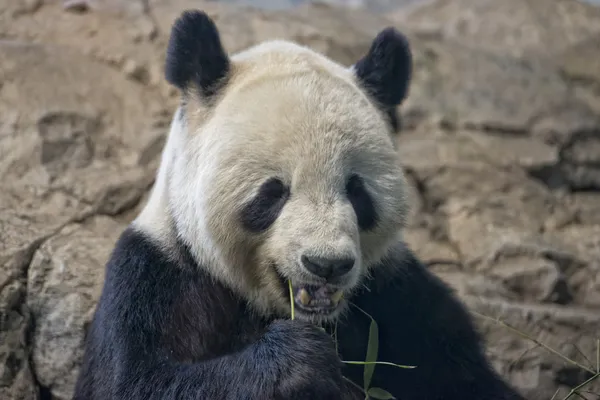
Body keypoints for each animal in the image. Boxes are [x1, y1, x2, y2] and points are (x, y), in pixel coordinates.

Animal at [74, 9, 524, 400]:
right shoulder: (157, 279)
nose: (326, 264)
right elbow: (134, 382)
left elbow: (465, 377)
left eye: (357, 191)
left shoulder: (398, 298)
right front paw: (299, 361)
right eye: (273, 192)